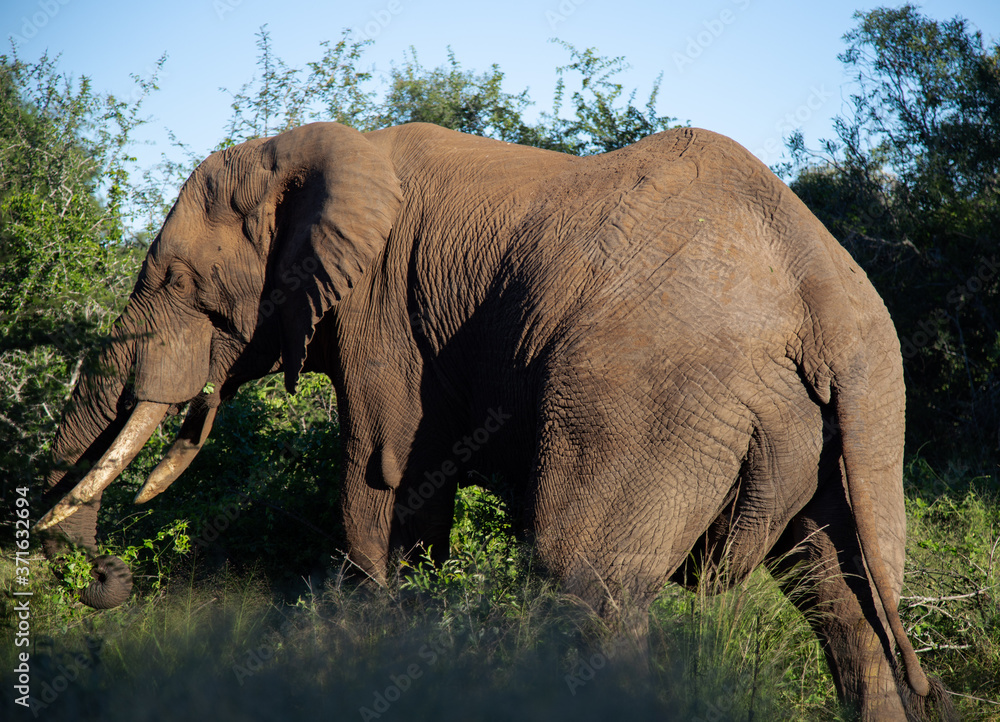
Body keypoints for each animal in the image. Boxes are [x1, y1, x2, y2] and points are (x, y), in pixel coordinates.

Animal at [36, 121, 954, 720]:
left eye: (177, 284)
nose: (111, 577)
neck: (327, 149)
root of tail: (820, 294)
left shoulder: (383, 317)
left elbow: (383, 486)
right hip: (871, 417)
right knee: (846, 607)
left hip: (654, 397)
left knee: (585, 582)